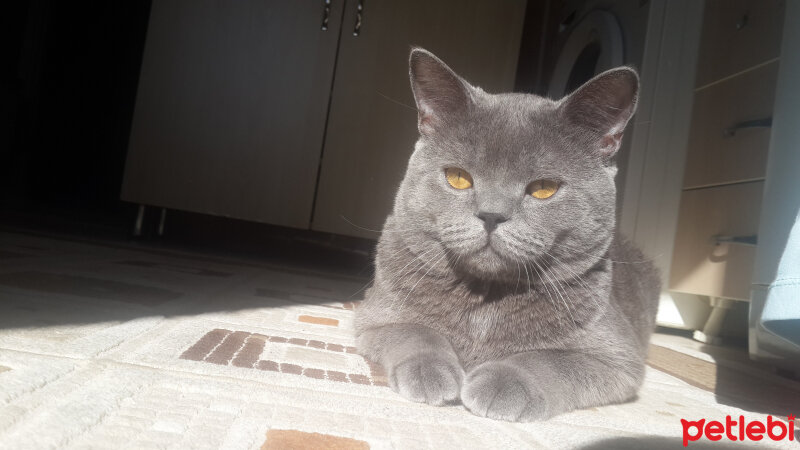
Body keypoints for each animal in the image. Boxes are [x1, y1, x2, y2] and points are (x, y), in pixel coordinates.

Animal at [354, 49, 660, 422]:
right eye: (458, 177)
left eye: (544, 188)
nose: (491, 214)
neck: (487, 297)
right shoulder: (375, 314)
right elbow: (415, 330)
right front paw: (430, 372)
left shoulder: (617, 357)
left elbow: (549, 359)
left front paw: (503, 383)